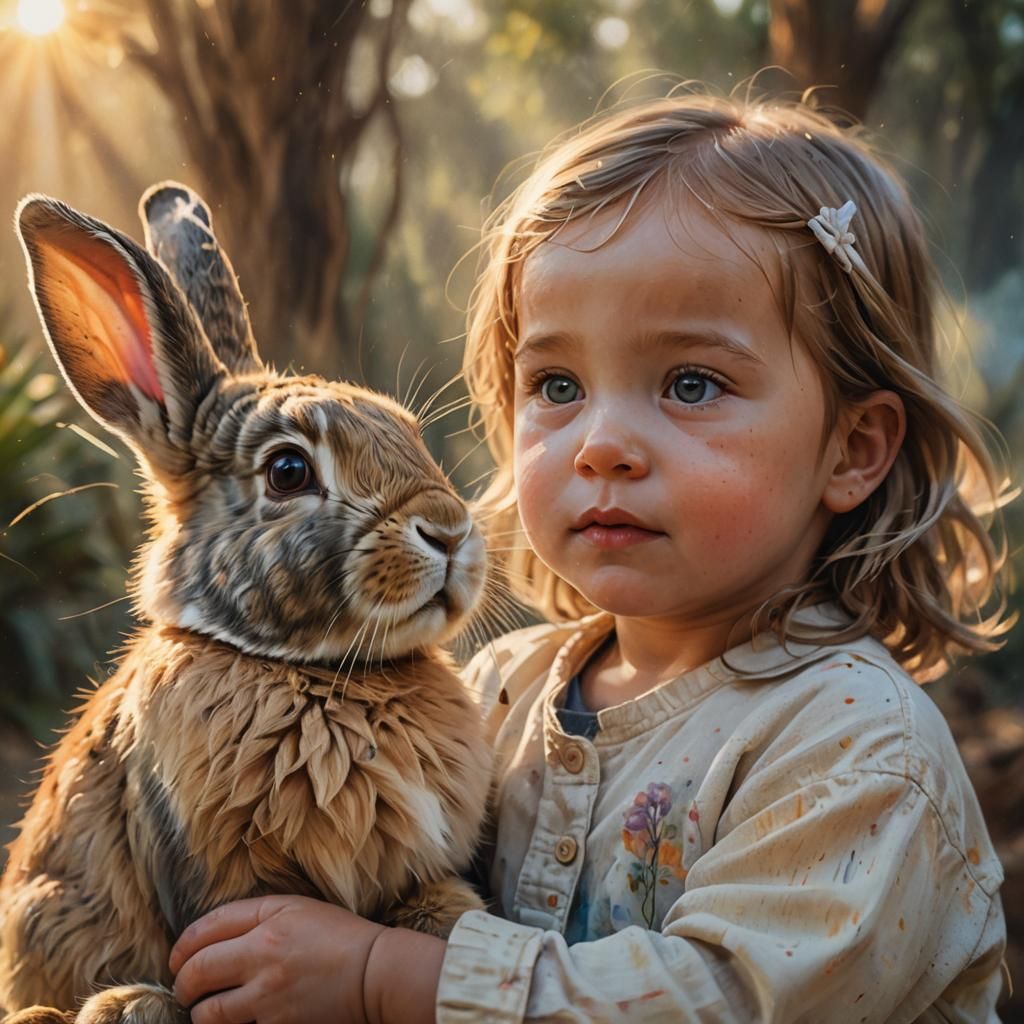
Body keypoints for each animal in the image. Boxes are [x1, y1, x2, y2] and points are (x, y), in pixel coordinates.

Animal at [0, 183, 492, 1023]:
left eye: (411, 434)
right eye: (289, 471)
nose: (451, 531)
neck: (317, 673)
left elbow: (438, 912)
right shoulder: (226, 886)